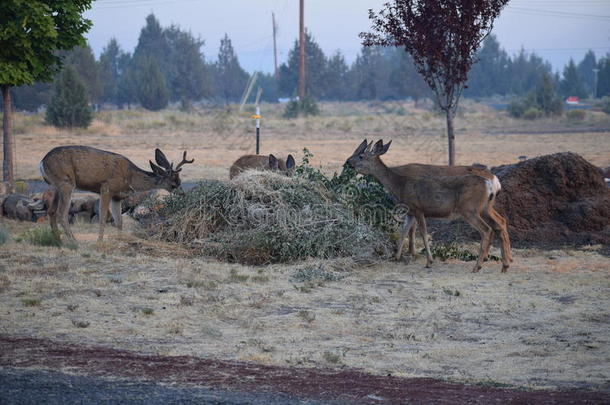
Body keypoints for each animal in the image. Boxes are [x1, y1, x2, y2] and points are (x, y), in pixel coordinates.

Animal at [41, 144, 192, 240]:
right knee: (61, 213)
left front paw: (120, 240)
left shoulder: (117, 197)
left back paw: (59, 240)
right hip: (66, 183)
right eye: (174, 183)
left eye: (180, 181)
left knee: (51, 211)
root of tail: (42, 162)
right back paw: (74, 242)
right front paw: (100, 241)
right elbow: (103, 218)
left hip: (56, 185)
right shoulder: (106, 188)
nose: (183, 194)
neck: (130, 177)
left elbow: (119, 221)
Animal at [344, 139, 510, 272]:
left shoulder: (418, 208)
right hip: (485, 208)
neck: (399, 184)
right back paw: (504, 265)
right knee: (500, 222)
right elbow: (404, 232)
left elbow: (423, 233)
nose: (347, 162)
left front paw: (429, 261)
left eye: (361, 156)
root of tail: (491, 182)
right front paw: (396, 257)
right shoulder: (410, 211)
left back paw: (478, 266)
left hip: (469, 209)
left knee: (487, 230)